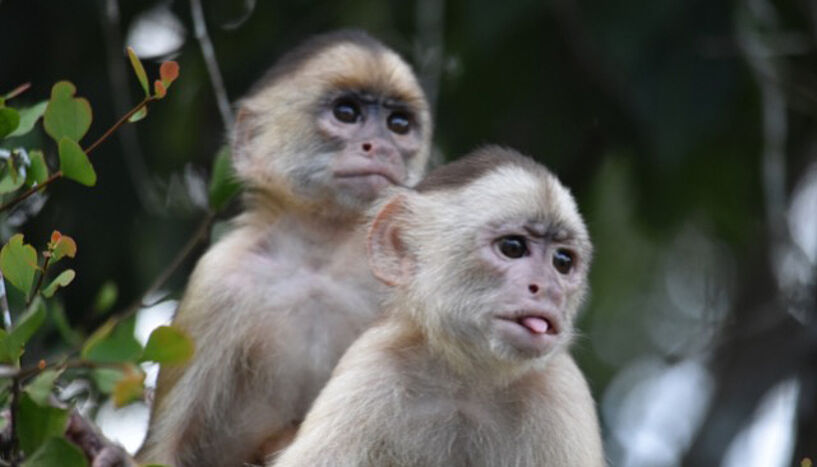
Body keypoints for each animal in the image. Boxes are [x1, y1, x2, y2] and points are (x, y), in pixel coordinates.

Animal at [137, 30, 430, 467]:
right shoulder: (216, 280)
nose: (379, 145)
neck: (318, 263)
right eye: (347, 113)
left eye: (398, 124)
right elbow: (163, 449)